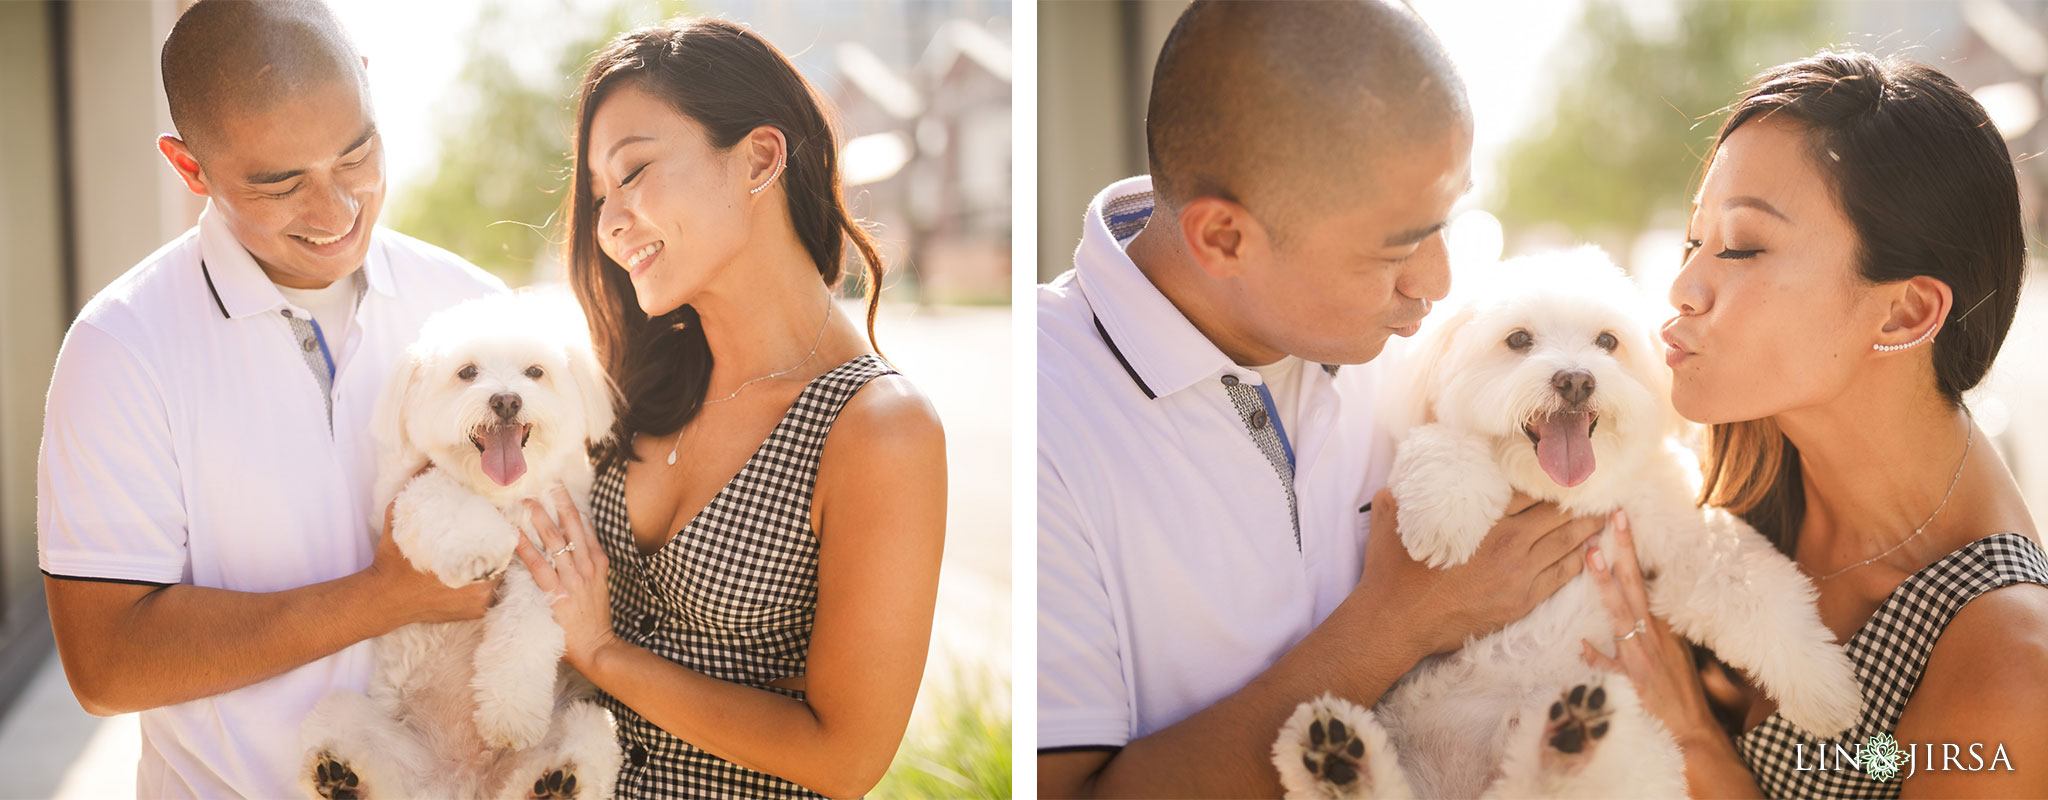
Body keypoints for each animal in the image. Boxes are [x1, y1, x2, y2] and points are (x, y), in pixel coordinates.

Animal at [299, 294, 622, 800]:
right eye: (467, 372)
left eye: (535, 372)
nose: (506, 400)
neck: (499, 495)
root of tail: (463, 780)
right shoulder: (401, 498)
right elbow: (442, 498)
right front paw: (478, 550)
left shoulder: (546, 562)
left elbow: (524, 629)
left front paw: (509, 713)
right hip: (349, 718)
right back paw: (338, 775)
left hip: (589, 722)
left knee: (581, 747)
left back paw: (557, 781)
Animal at [1269, 247, 1867, 797]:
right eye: (1517, 340)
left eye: (1607, 341)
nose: (1576, 380)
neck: (1564, 494)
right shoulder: (1435, 437)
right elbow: (1444, 443)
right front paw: (1444, 518)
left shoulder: (1678, 524)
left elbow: (1751, 583)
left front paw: (1824, 689)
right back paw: (1338, 760)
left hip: (1641, 749)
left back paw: (1563, 744)